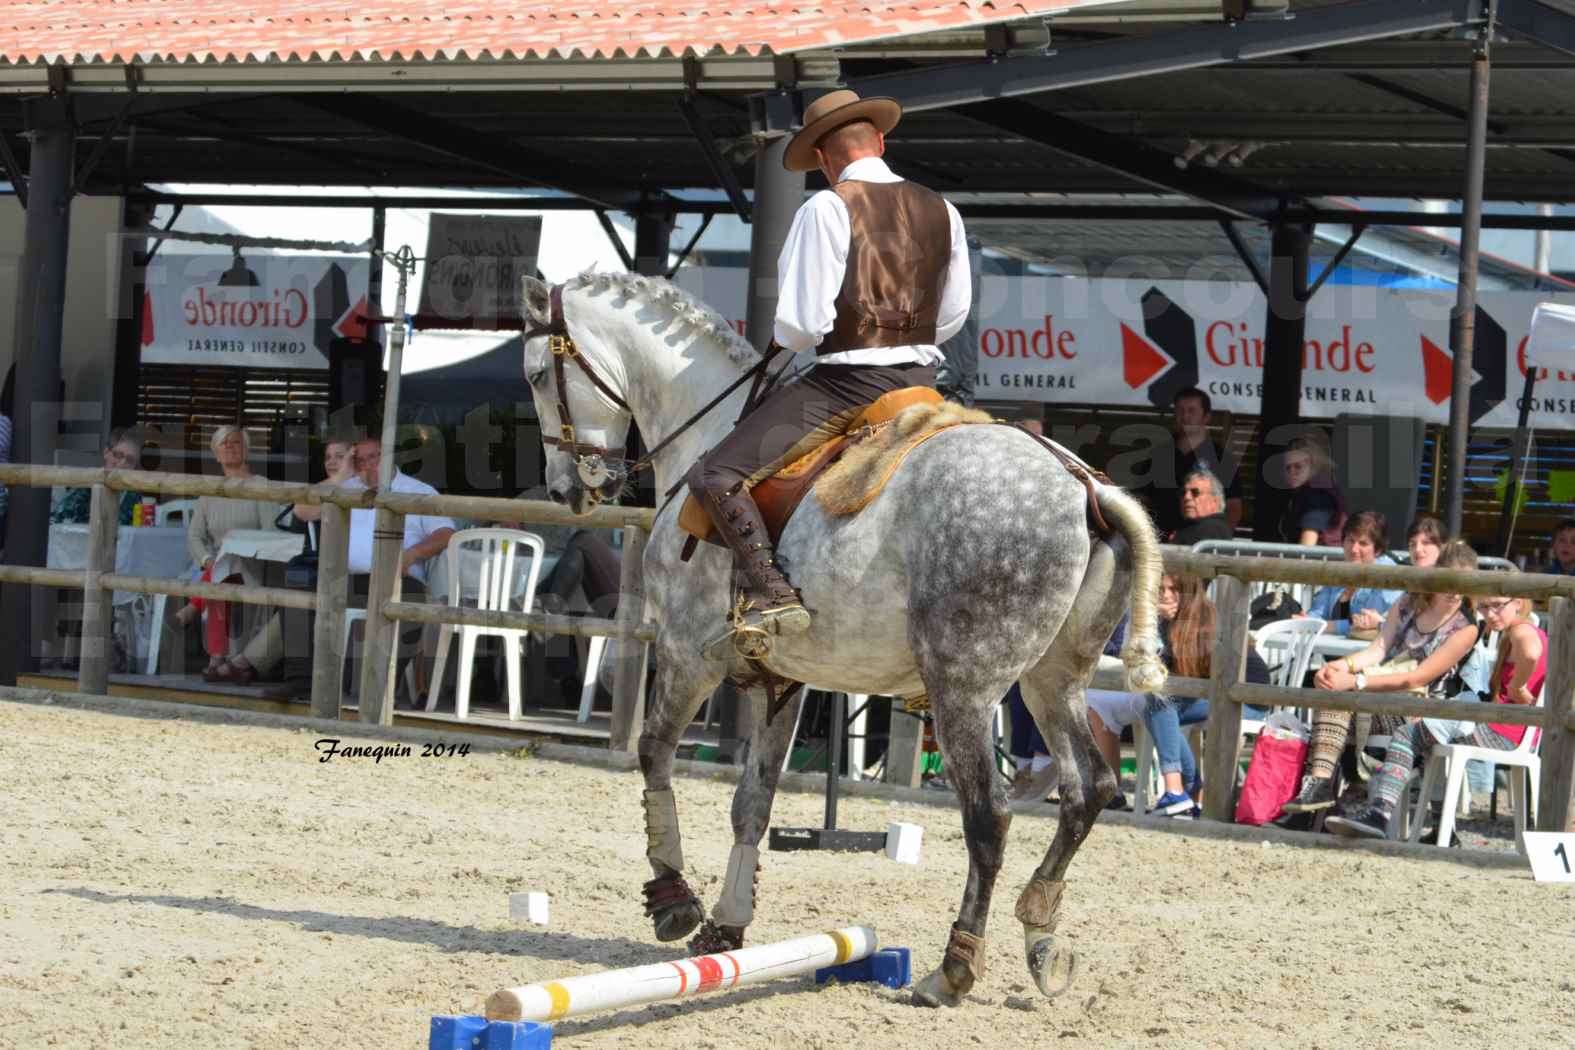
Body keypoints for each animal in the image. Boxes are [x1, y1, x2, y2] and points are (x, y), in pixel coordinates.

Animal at [522, 270, 1165, 1007]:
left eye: (537, 374)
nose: (566, 489)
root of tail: (1081, 487)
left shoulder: (685, 656)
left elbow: (653, 755)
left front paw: (675, 902)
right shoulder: (781, 678)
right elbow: (752, 804)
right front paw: (726, 926)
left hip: (965, 689)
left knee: (990, 816)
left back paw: (951, 970)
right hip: (1052, 682)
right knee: (1088, 788)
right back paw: (1041, 940)